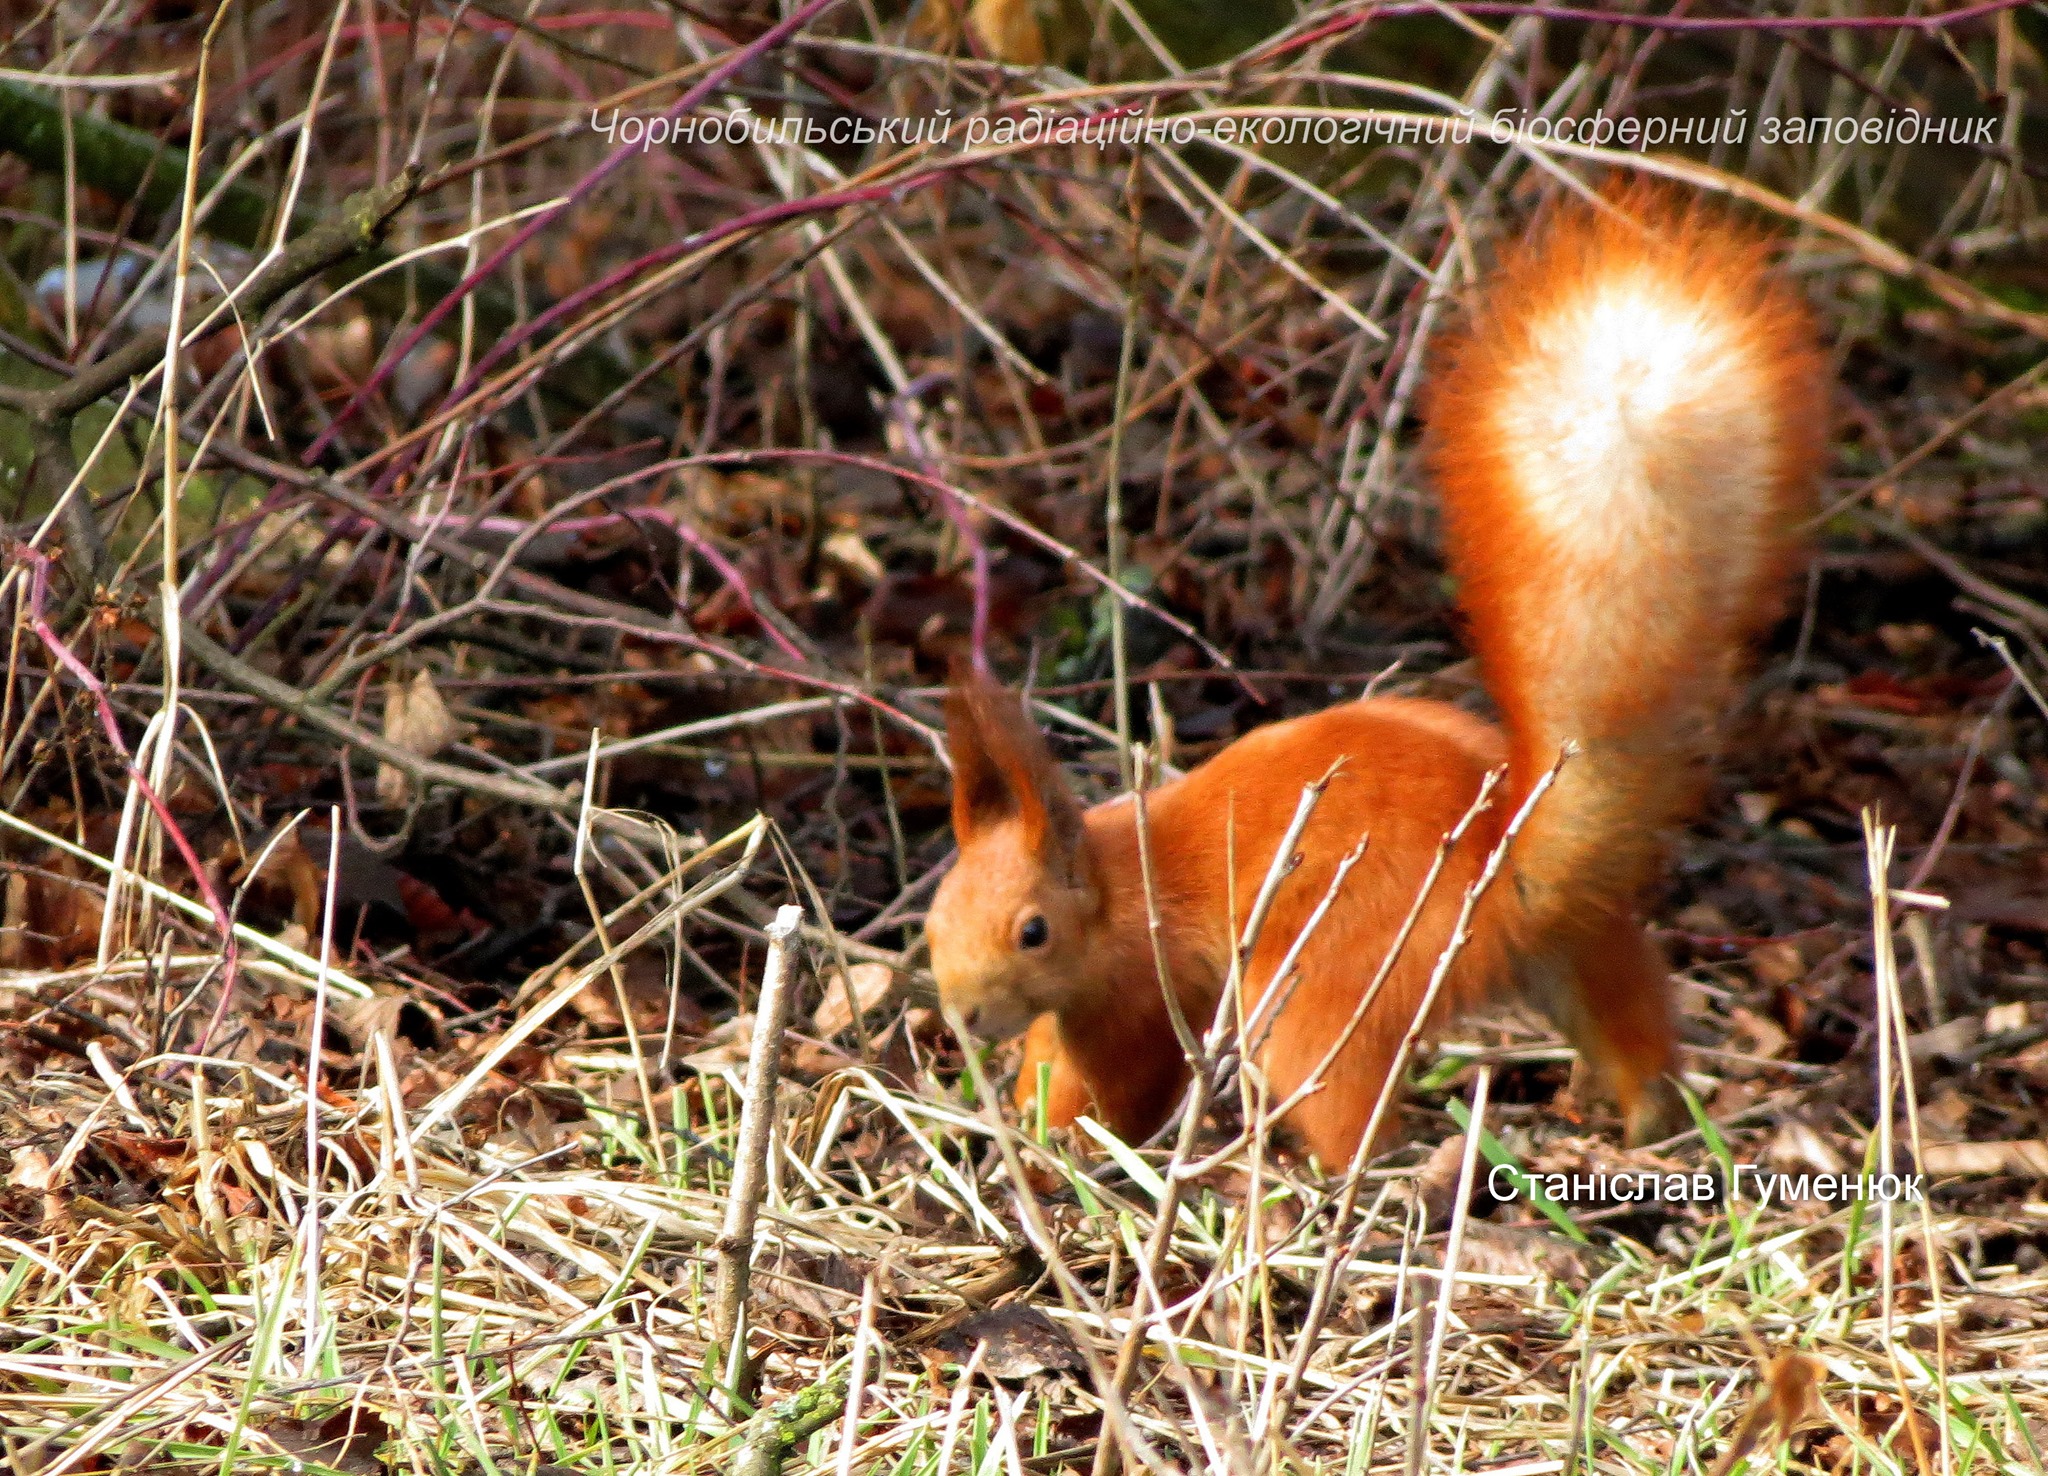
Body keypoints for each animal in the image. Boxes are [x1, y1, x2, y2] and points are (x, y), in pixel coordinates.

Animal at [921, 181, 1835, 1162]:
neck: (1118, 882)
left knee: (1341, 1097)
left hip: (1329, 974)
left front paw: (1055, 1143)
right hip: (1582, 945)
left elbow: (1111, 1080)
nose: (963, 1015)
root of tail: (1500, 864)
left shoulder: (1133, 986)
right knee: (1631, 1030)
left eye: (1033, 932)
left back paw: (1320, 1170)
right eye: (933, 921)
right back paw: (1652, 1125)